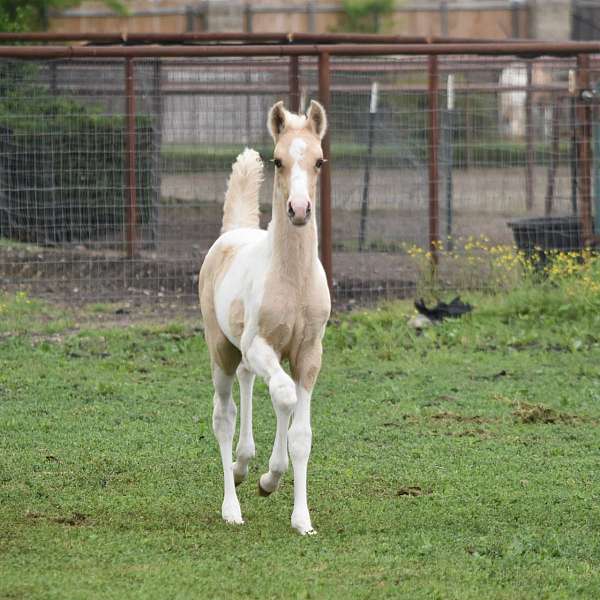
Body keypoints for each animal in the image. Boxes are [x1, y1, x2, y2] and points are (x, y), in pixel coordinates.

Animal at [199, 99, 330, 536]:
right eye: (277, 160)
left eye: (319, 161)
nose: (300, 210)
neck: (291, 278)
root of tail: (233, 232)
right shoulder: (260, 345)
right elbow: (285, 395)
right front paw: (268, 478)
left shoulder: (309, 353)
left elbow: (301, 432)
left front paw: (301, 517)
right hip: (221, 349)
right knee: (224, 416)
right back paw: (232, 504)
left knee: (248, 382)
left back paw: (245, 464)